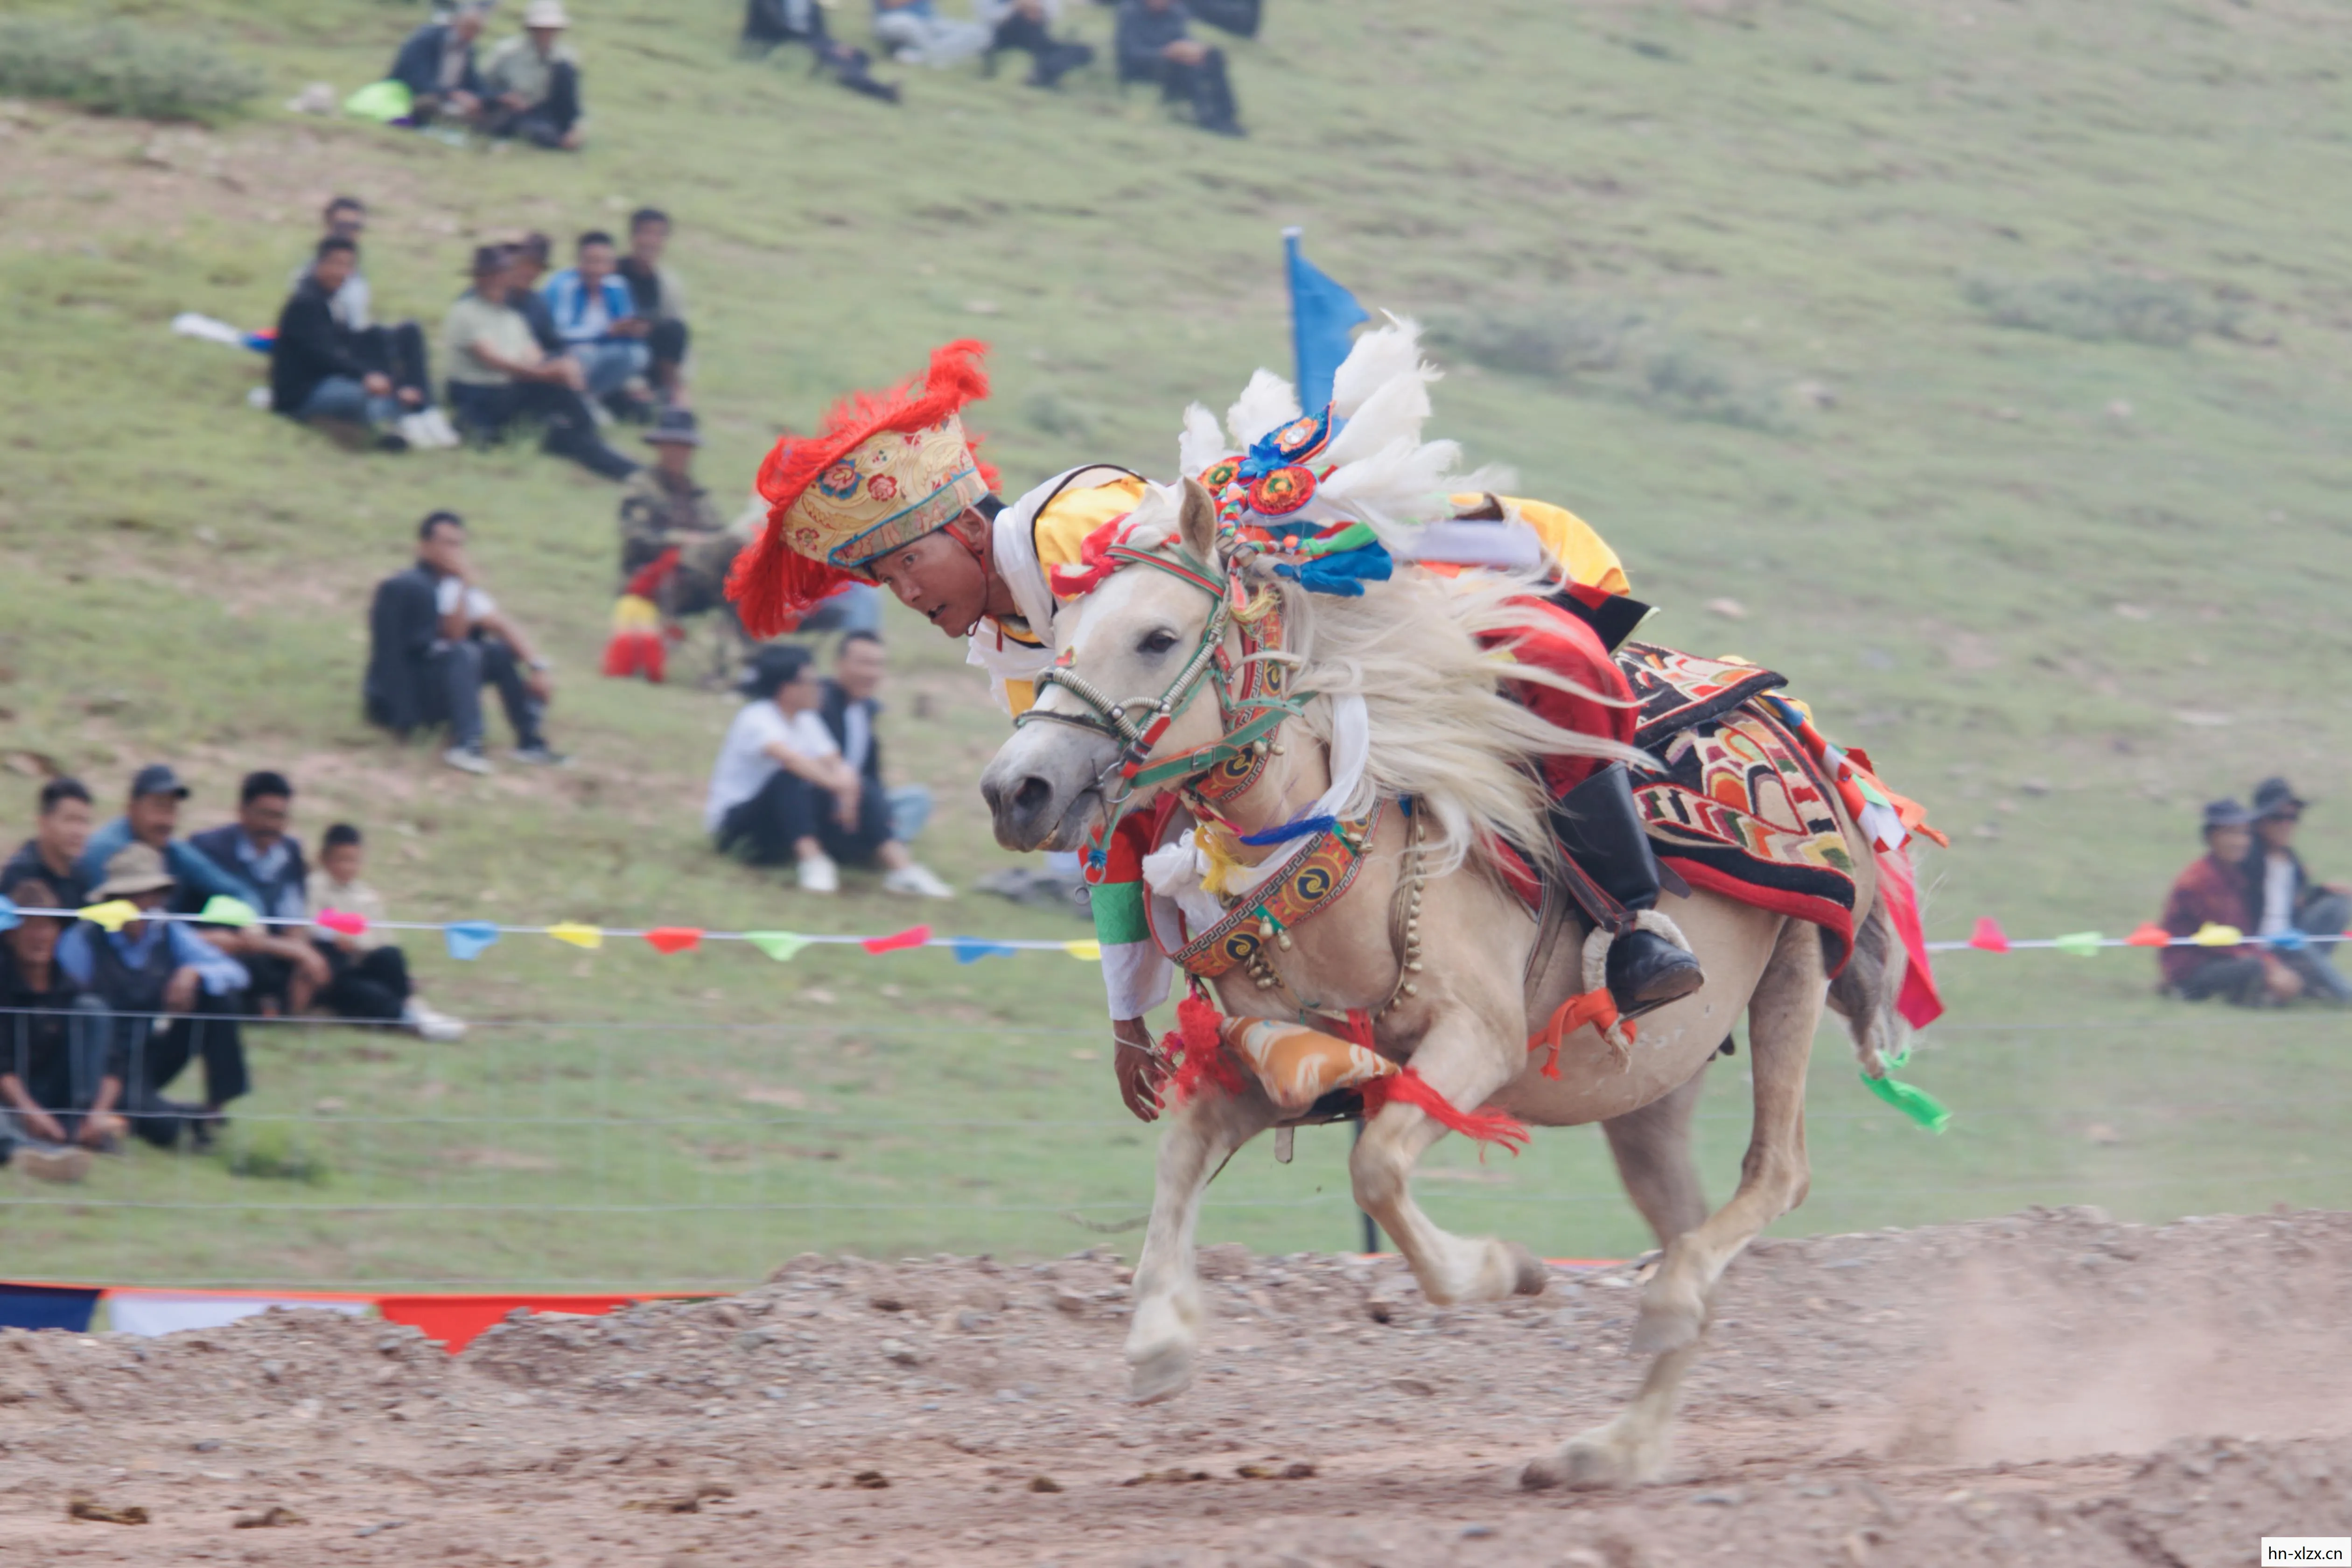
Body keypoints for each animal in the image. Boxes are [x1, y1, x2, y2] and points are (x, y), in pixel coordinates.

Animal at [978, 476, 1910, 1488]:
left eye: (1155, 637)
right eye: (1059, 633)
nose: (1017, 789)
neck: (1343, 851)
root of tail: (1791, 724)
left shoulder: (1476, 1043)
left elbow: (1377, 1170)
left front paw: (1508, 1270)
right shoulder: (1287, 1069)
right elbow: (1182, 1153)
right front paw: (1158, 1344)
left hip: (1795, 967)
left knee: (1777, 1173)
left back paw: (1661, 1313)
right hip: (1651, 1088)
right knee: (1688, 1226)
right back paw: (1614, 1445)